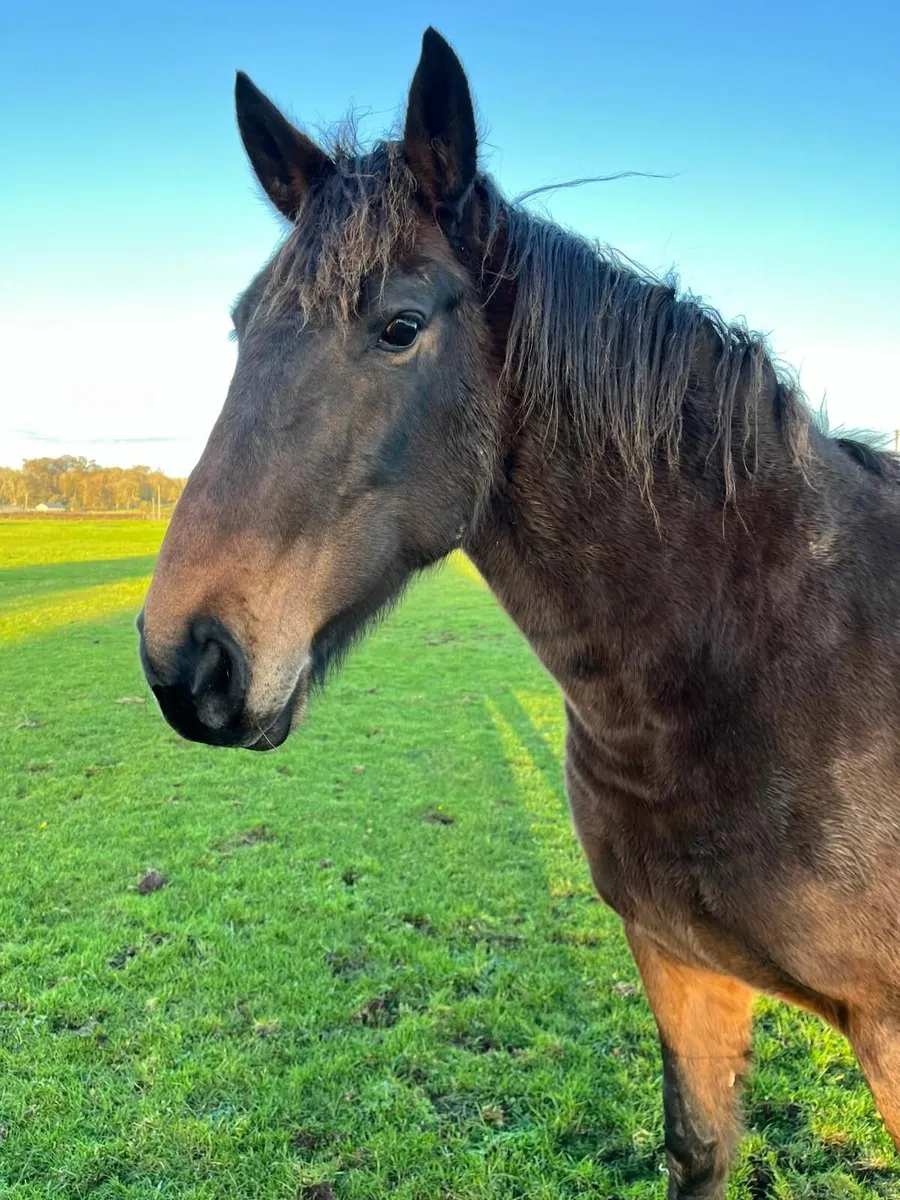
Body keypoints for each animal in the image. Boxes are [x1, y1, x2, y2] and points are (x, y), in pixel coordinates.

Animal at [138, 28, 900, 1198]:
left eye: (401, 327)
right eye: (239, 326)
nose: (188, 661)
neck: (772, 658)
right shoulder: (681, 968)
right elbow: (699, 1150)